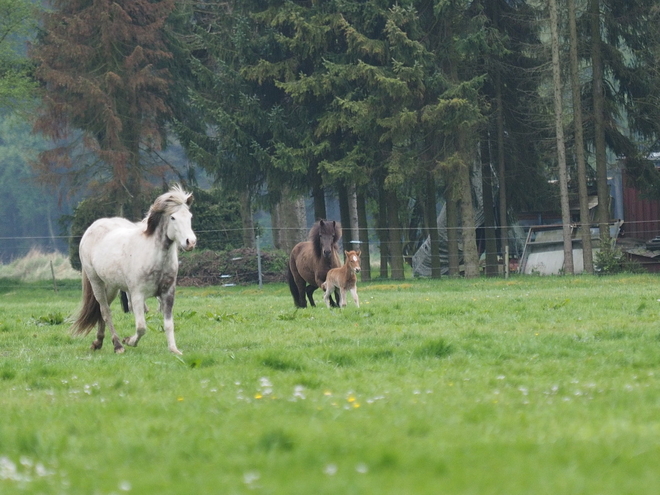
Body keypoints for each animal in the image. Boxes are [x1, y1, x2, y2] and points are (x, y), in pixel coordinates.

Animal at [72, 184, 197, 354]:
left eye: (189, 216)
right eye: (173, 217)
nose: (190, 242)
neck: (154, 256)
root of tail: (92, 228)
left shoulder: (168, 293)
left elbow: (168, 324)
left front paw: (173, 350)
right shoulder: (137, 295)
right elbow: (141, 327)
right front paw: (129, 341)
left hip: (112, 286)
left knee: (102, 310)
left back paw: (98, 342)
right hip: (96, 282)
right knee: (105, 311)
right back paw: (118, 345)